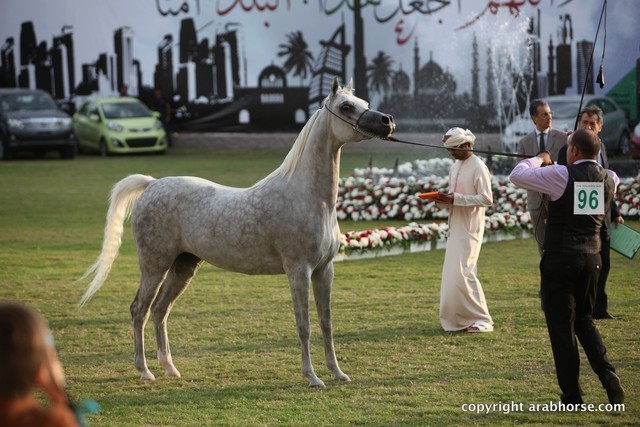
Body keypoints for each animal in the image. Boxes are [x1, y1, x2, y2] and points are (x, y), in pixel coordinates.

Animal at [78, 77, 395, 387]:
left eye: (363, 102)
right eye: (345, 107)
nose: (387, 121)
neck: (305, 195)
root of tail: (152, 184)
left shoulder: (324, 270)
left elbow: (326, 323)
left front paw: (337, 372)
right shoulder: (298, 270)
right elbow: (303, 324)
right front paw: (313, 377)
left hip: (183, 266)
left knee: (159, 310)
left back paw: (169, 368)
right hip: (154, 266)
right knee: (139, 309)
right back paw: (144, 370)